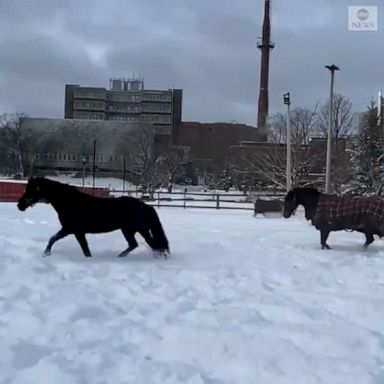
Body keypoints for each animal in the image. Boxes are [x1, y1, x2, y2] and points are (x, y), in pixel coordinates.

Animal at [16, 179, 170, 258]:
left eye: (30, 189)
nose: (19, 205)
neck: (69, 202)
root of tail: (147, 207)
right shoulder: (72, 230)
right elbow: (56, 239)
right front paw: (46, 254)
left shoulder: (72, 230)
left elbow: (57, 240)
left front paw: (46, 254)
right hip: (131, 230)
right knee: (138, 245)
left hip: (136, 230)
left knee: (152, 246)